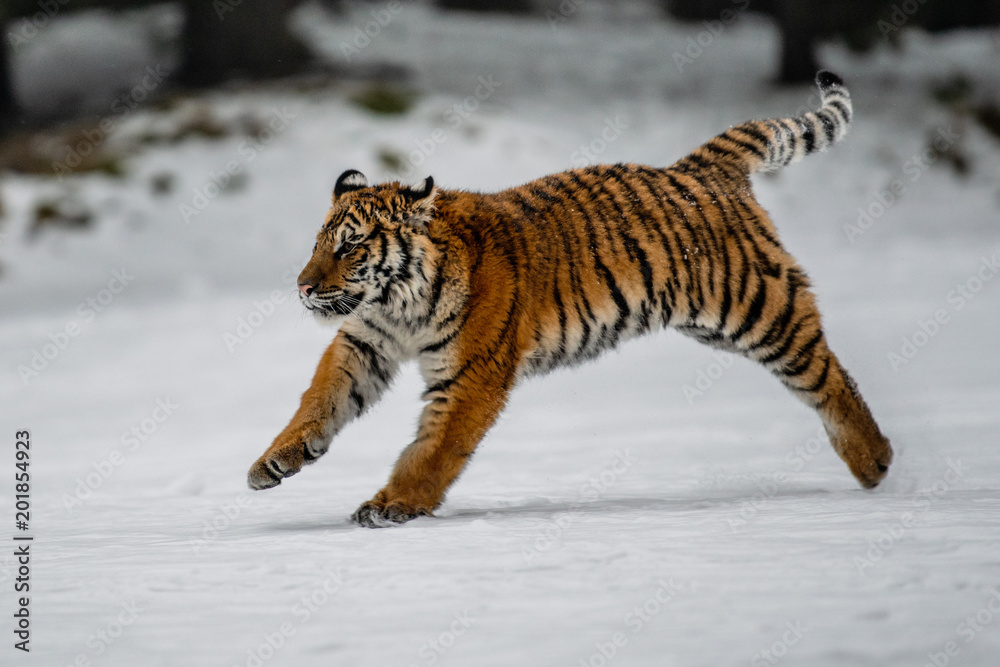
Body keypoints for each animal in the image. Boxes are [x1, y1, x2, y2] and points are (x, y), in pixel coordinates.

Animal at [247, 70, 893, 527]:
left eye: (352, 247)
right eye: (318, 244)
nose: (303, 287)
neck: (398, 303)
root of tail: (700, 168)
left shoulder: (472, 376)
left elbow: (433, 449)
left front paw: (393, 505)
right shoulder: (364, 345)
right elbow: (319, 401)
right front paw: (274, 461)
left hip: (760, 308)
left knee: (829, 375)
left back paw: (875, 462)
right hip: (715, 322)